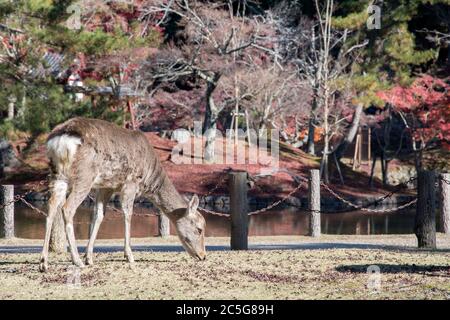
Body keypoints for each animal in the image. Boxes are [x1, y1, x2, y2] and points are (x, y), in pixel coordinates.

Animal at [39, 117, 207, 272]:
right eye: (199, 229)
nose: (203, 256)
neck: (148, 178)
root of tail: (61, 139)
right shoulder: (130, 183)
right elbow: (127, 214)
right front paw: (129, 256)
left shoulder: (106, 186)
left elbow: (98, 215)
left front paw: (89, 257)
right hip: (84, 176)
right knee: (67, 208)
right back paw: (76, 260)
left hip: (57, 175)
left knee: (51, 206)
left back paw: (44, 263)